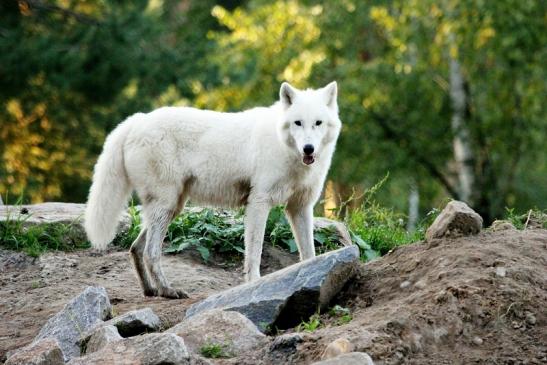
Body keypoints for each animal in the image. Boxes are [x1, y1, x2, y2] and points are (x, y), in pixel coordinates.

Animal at [85, 81, 342, 298]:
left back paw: (151, 290)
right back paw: (168, 291)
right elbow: (254, 252)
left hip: (172, 208)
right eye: (298, 122)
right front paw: (254, 283)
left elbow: (308, 253)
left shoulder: (300, 207)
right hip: (166, 206)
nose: (308, 149)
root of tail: (137, 120)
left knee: (135, 248)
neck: (285, 149)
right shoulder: (259, 203)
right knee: (151, 252)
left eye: (318, 123)